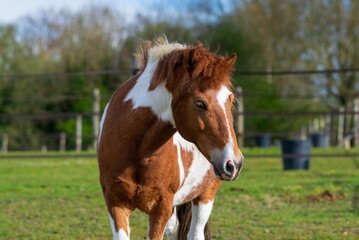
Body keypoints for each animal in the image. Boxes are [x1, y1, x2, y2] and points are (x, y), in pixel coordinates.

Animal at [97, 38, 245, 239]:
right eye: (200, 103)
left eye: (230, 99)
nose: (234, 164)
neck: (136, 151)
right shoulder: (115, 203)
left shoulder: (162, 207)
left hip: (205, 195)